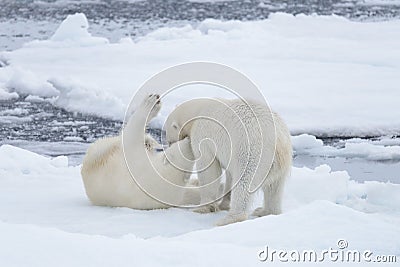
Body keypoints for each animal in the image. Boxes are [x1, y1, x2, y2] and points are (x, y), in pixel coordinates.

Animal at [164, 98, 292, 226]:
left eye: (169, 138)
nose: (169, 144)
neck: (198, 111)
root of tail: (279, 142)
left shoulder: (203, 135)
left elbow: (209, 169)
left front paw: (202, 208)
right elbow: (230, 175)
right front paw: (223, 204)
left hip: (252, 152)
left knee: (244, 183)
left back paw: (227, 219)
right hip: (280, 163)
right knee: (274, 187)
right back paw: (264, 211)